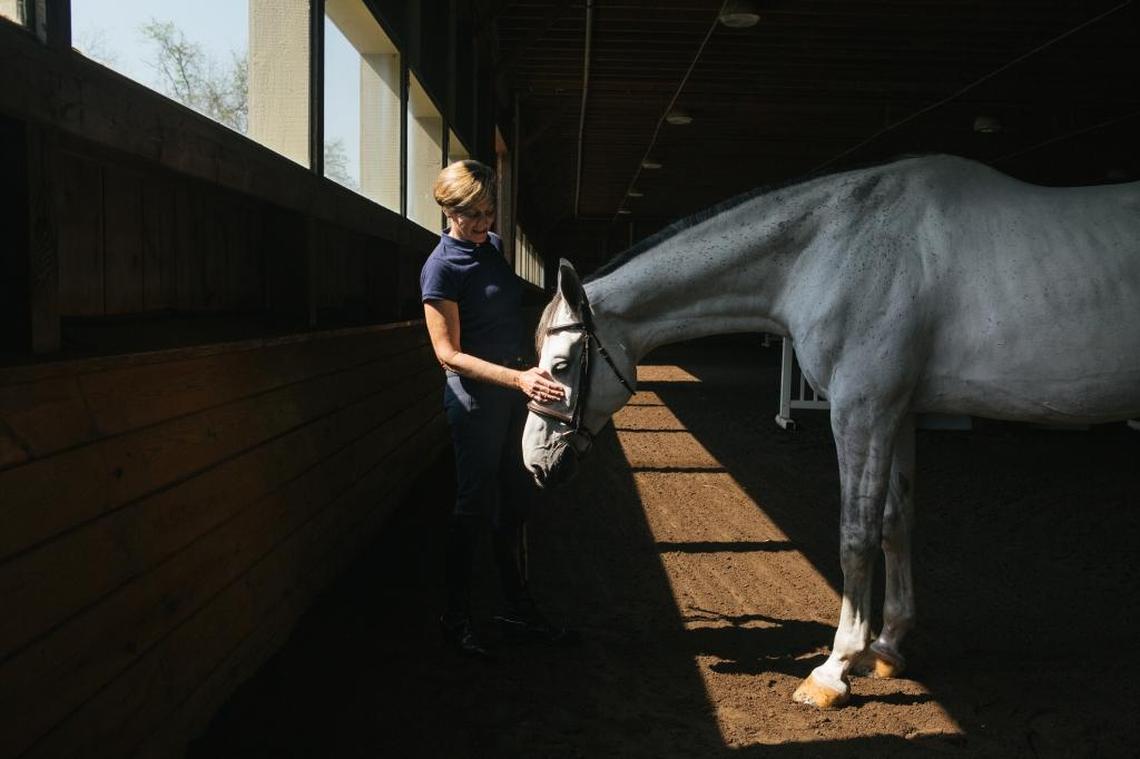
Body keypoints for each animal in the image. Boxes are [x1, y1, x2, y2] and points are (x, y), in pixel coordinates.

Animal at [521, 154, 1140, 709]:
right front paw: (887, 649)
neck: (831, 249)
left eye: (561, 365)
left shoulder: (861, 409)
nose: (534, 462)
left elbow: (856, 537)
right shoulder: (898, 413)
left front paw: (834, 669)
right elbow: (894, 523)